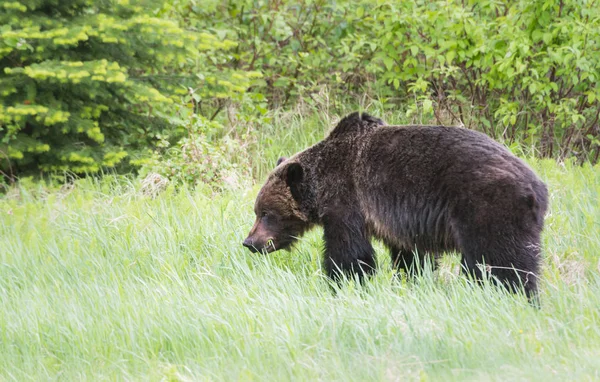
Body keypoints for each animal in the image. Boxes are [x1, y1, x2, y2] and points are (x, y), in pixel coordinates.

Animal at [243, 112, 548, 300]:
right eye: (258, 211)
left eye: (266, 213)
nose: (249, 242)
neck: (322, 184)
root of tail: (538, 188)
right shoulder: (400, 221)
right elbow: (412, 257)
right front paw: (410, 281)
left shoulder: (348, 202)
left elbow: (350, 252)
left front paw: (339, 282)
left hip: (487, 208)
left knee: (500, 262)